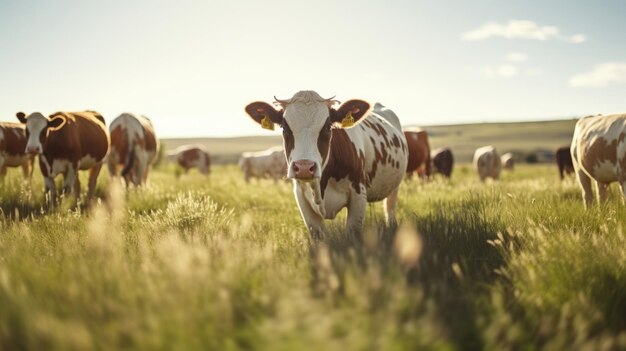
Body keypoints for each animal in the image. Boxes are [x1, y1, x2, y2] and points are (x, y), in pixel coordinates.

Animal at [244, 91, 410, 239]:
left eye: (327, 127)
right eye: (284, 128)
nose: (304, 167)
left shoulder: (358, 193)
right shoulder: (301, 198)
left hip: (395, 186)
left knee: (390, 208)